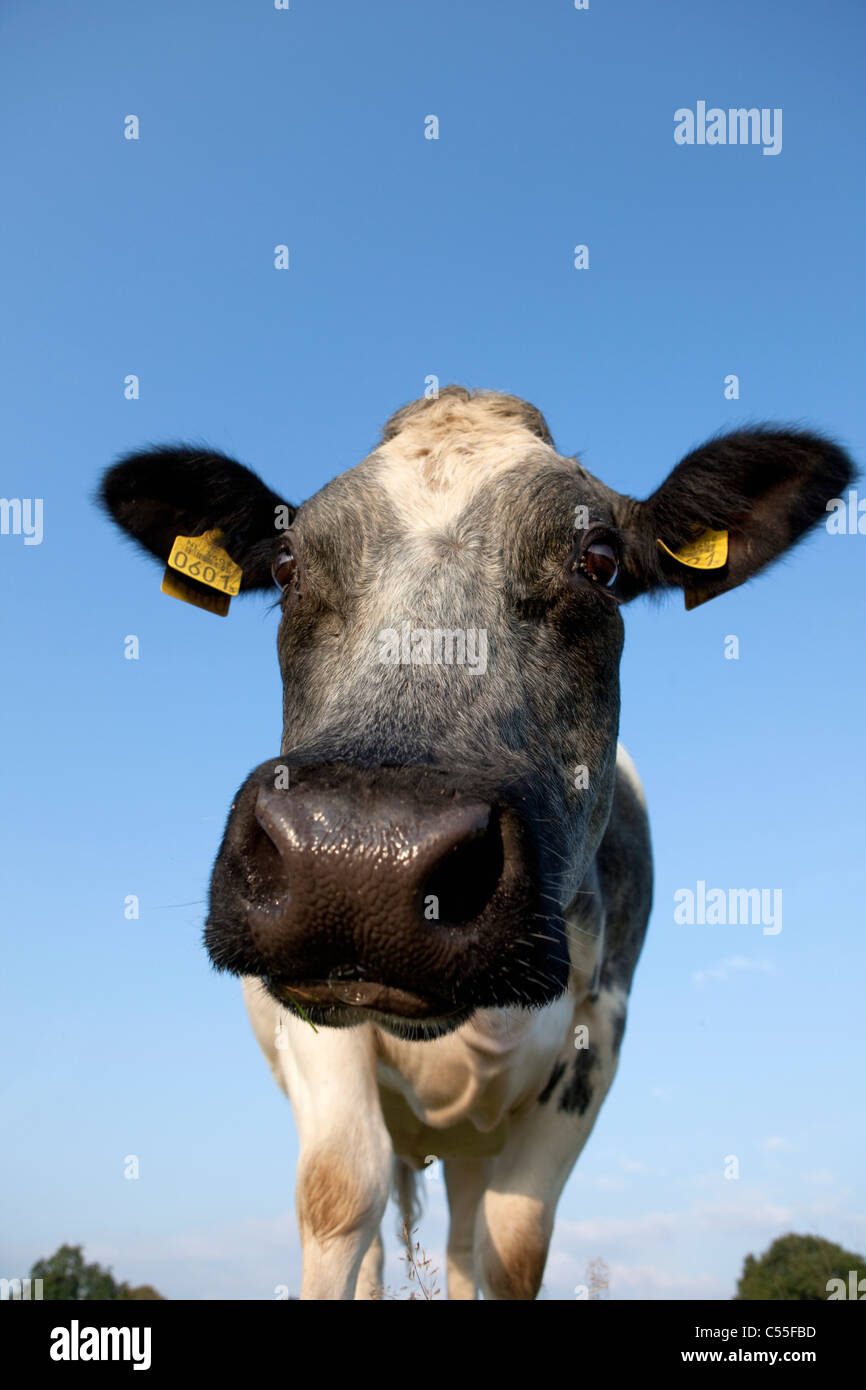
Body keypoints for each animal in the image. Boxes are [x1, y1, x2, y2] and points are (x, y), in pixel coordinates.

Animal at [97, 386, 850, 1295]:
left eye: (600, 561)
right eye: (286, 567)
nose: (360, 855)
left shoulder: (598, 1040)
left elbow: (513, 1244)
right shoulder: (307, 1011)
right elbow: (341, 1194)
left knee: (462, 1240)